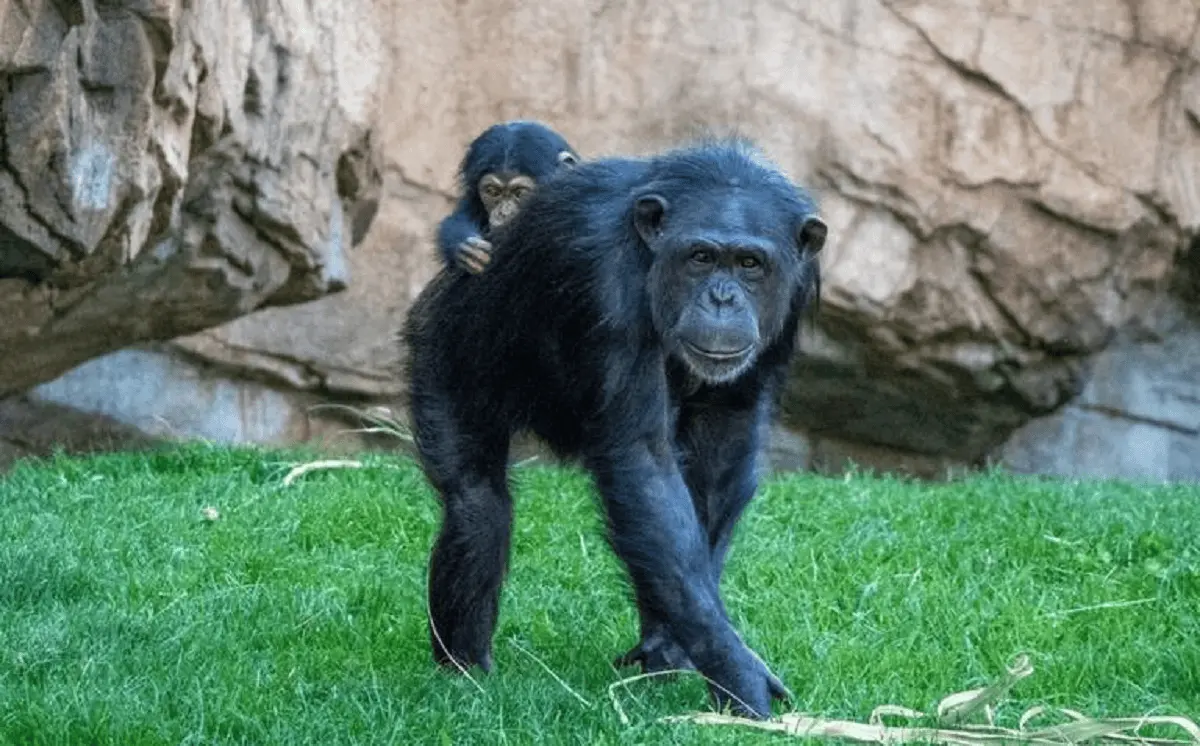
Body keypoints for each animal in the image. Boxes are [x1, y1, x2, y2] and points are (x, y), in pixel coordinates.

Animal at [403, 139, 825, 719]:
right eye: (700, 258)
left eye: (750, 264)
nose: (723, 298)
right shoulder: (606, 279)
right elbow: (641, 459)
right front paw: (737, 672)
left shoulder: (796, 288)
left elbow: (723, 443)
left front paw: (683, 645)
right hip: (442, 350)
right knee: (476, 507)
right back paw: (465, 672)